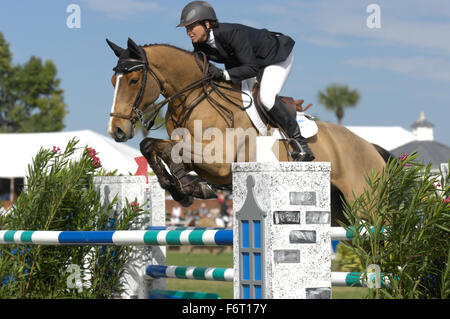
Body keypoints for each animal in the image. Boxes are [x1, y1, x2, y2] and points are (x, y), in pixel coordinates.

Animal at [106, 38, 390, 228]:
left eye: (133, 81)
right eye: (112, 82)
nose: (116, 130)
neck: (195, 97)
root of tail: (371, 147)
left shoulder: (219, 163)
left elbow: (166, 149)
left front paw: (187, 187)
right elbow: (152, 146)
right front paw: (182, 188)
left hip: (366, 208)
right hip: (342, 214)